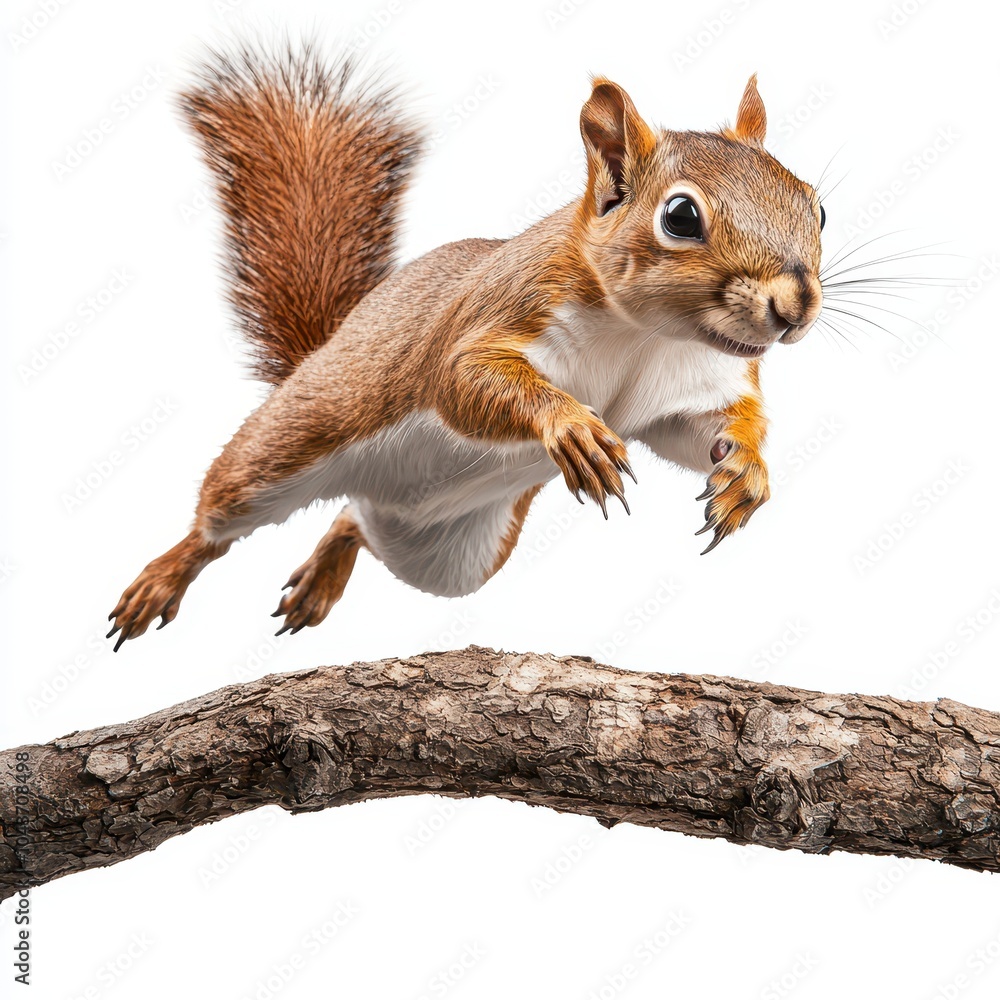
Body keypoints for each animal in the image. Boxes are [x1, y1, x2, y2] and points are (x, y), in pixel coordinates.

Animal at [108, 40, 825, 649]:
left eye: (815, 205)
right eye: (680, 217)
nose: (795, 306)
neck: (647, 336)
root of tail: (335, 339)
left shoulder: (691, 387)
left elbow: (701, 431)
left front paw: (746, 472)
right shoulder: (506, 311)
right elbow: (462, 381)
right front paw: (571, 428)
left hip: (451, 554)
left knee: (354, 521)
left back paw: (322, 574)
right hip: (293, 439)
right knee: (222, 512)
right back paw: (162, 579)